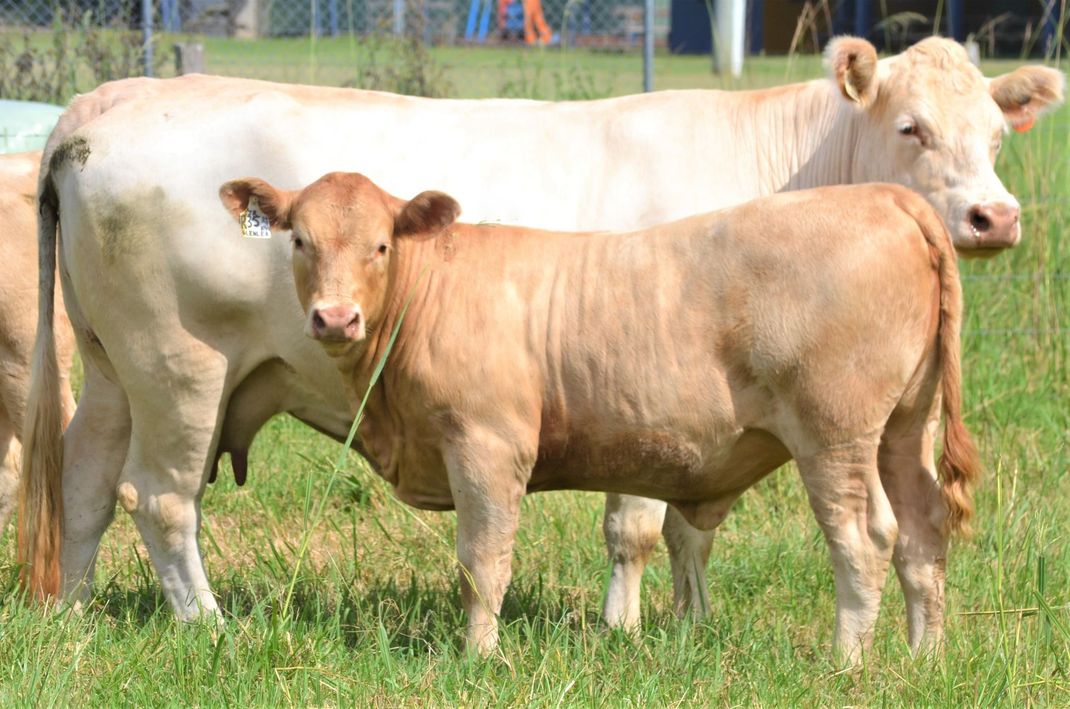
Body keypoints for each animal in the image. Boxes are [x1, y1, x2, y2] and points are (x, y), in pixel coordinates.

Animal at [216, 173, 979, 661]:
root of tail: (885, 195)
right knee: (922, 530)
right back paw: (924, 658)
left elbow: (483, 559)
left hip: (836, 432)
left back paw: (847, 662)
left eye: (380, 245)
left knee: (864, 537)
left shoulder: (487, 443)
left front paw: (478, 656)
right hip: (906, 426)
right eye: (299, 241)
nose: (335, 317)